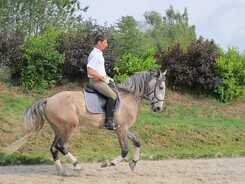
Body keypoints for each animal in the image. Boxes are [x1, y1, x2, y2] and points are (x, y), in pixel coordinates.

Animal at [1, 69, 167, 175]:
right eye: (160, 87)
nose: (158, 108)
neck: (128, 97)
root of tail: (49, 99)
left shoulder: (126, 128)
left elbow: (137, 142)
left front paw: (133, 163)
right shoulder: (121, 130)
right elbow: (125, 150)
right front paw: (109, 163)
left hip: (58, 129)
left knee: (54, 148)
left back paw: (62, 171)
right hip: (69, 127)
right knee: (61, 146)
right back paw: (76, 166)